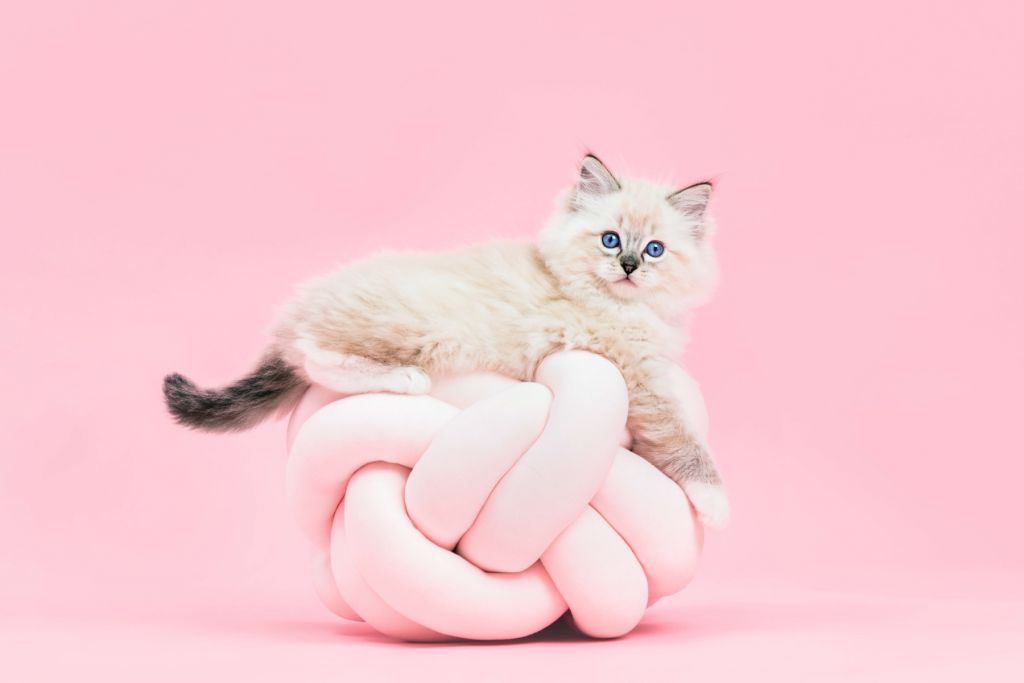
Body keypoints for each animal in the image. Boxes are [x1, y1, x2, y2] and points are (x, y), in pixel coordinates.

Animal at [163, 156, 729, 528]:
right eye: (611, 240)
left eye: (654, 250)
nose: (629, 265)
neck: (617, 305)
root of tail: (300, 307)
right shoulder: (637, 379)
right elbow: (682, 441)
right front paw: (715, 501)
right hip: (417, 332)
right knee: (312, 354)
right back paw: (402, 379)